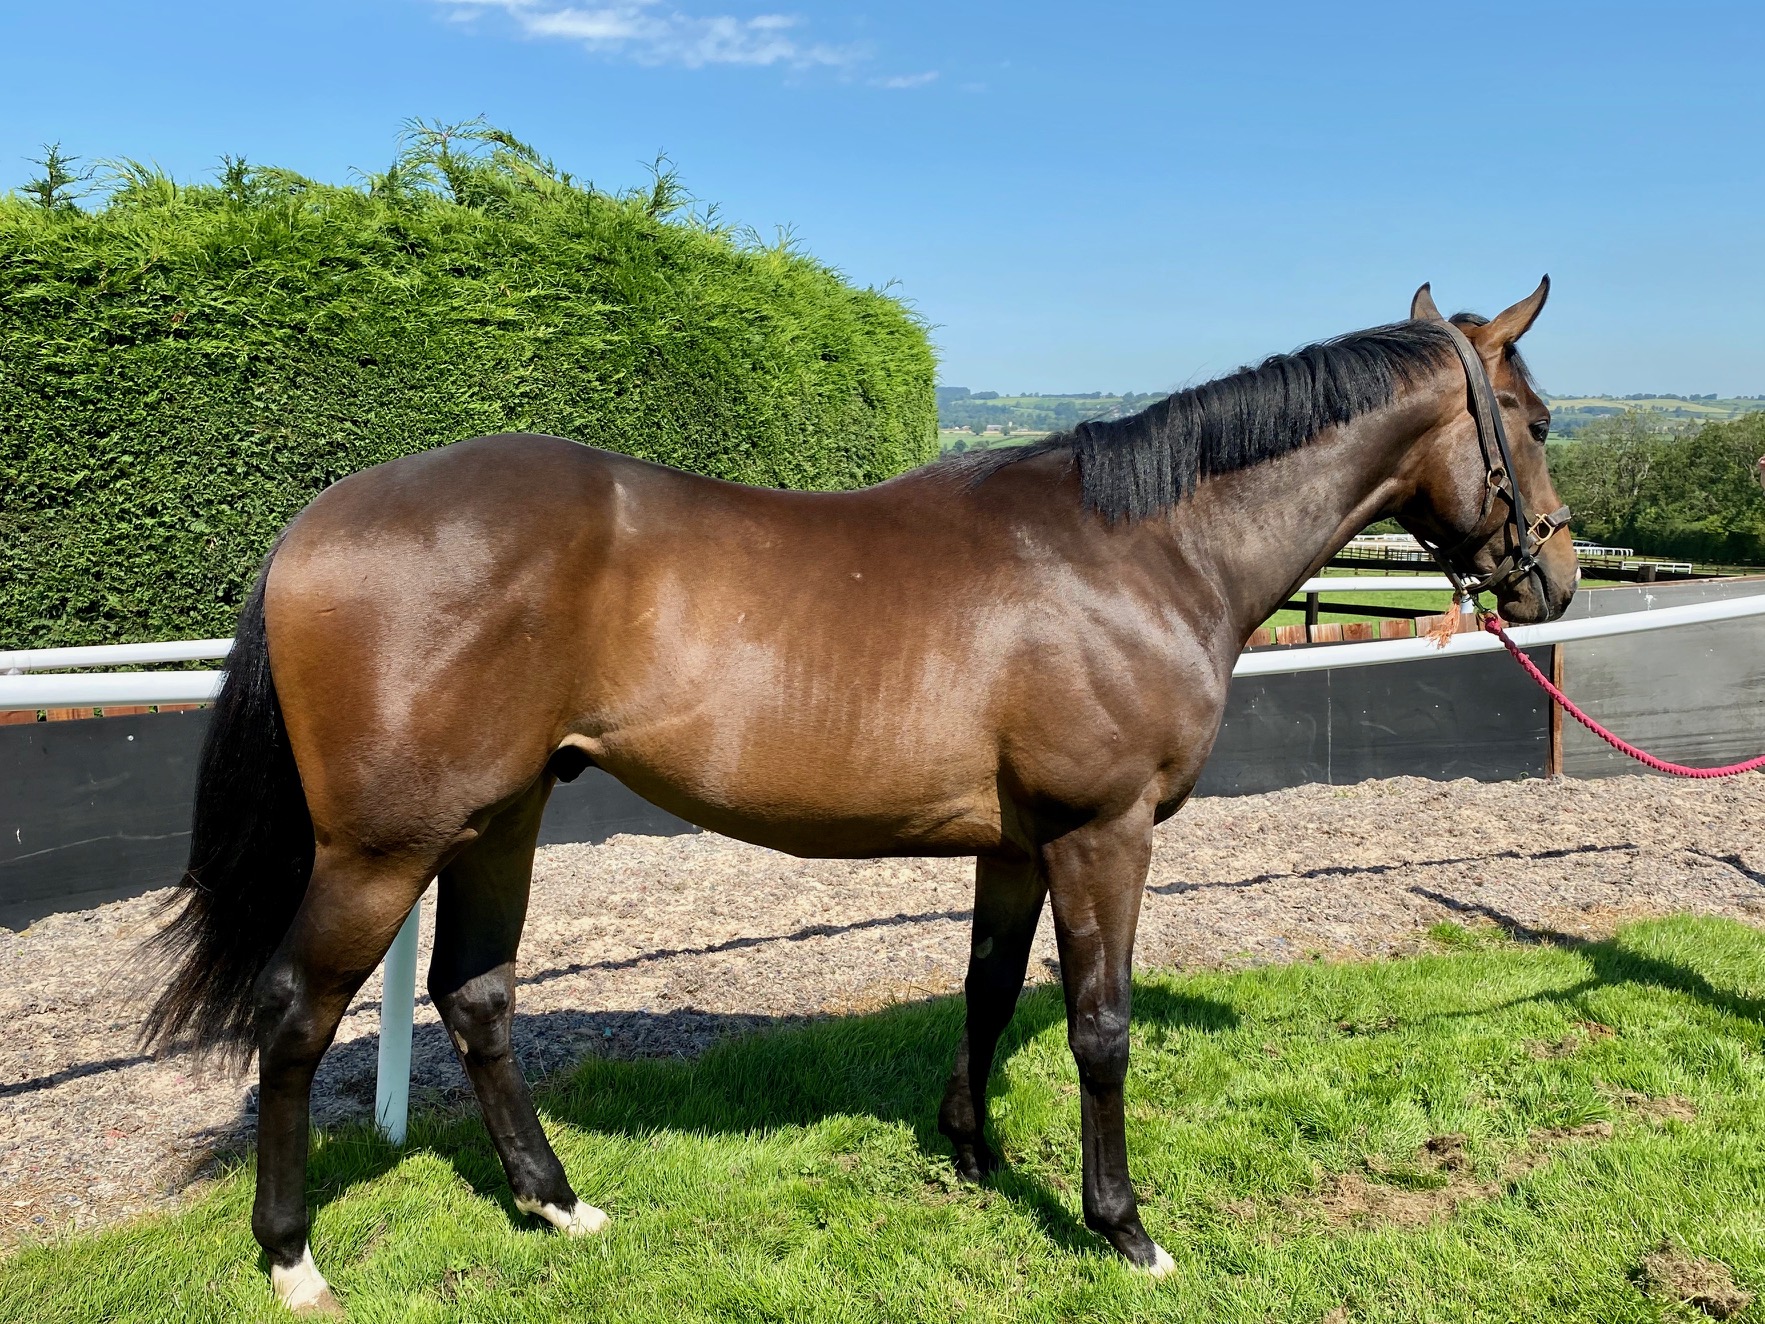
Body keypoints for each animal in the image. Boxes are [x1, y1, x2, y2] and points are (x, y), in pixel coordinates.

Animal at [145, 279, 1577, 1314]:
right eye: (1537, 420)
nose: (1554, 578)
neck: (1141, 550)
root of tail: (316, 521)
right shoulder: (1099, 835)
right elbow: (1100, 1027)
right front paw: (1122, 1227)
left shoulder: (1018, 843)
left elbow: (988, 988)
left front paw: (972, 1150)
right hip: (382, 847)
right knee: (293, 1016)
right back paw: (293, 1259)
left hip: (501, 817)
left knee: (475, 994)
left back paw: (557, 1201)